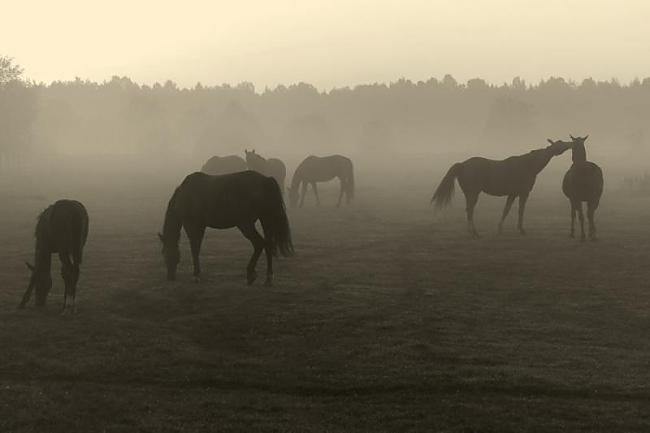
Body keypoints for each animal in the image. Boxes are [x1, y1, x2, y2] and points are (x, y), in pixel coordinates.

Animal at [159, 170, 294, 286]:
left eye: (165, 253)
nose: (170, 277)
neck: (185, 195)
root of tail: (265, 180)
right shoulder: (201, 226)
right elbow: (197, 247)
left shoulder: (191, 225)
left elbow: (194, 248)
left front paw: (196, 275)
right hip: (265, 220)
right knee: (268, 245)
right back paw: (268, 278)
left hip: (246, 225)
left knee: (259, 244)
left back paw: (251, 274)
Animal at [432, 140, 568, 236]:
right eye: (561, 143)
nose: (570, 143)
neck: (528, 165)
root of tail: (463, 165)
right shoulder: (523, 193)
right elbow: (520, 210)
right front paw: (521, 230)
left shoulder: (513, 194)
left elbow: (506, 210)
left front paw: (500, 229)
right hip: (474, 193)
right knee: (470, 210)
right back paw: (475, 232)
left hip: (468, 194)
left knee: (468, 210)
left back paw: (470, 231)